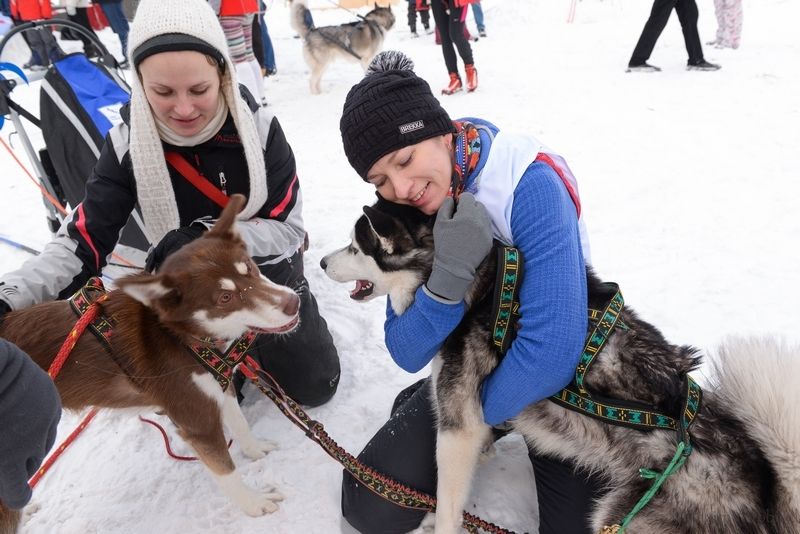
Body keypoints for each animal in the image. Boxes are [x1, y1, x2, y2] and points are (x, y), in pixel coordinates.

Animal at [322, 199, 800, 532]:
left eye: (355, 246)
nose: (323, 261)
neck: (476, 290)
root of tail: (765, 486)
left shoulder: (458, 425)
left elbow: (450, 502)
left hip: (619, 517)